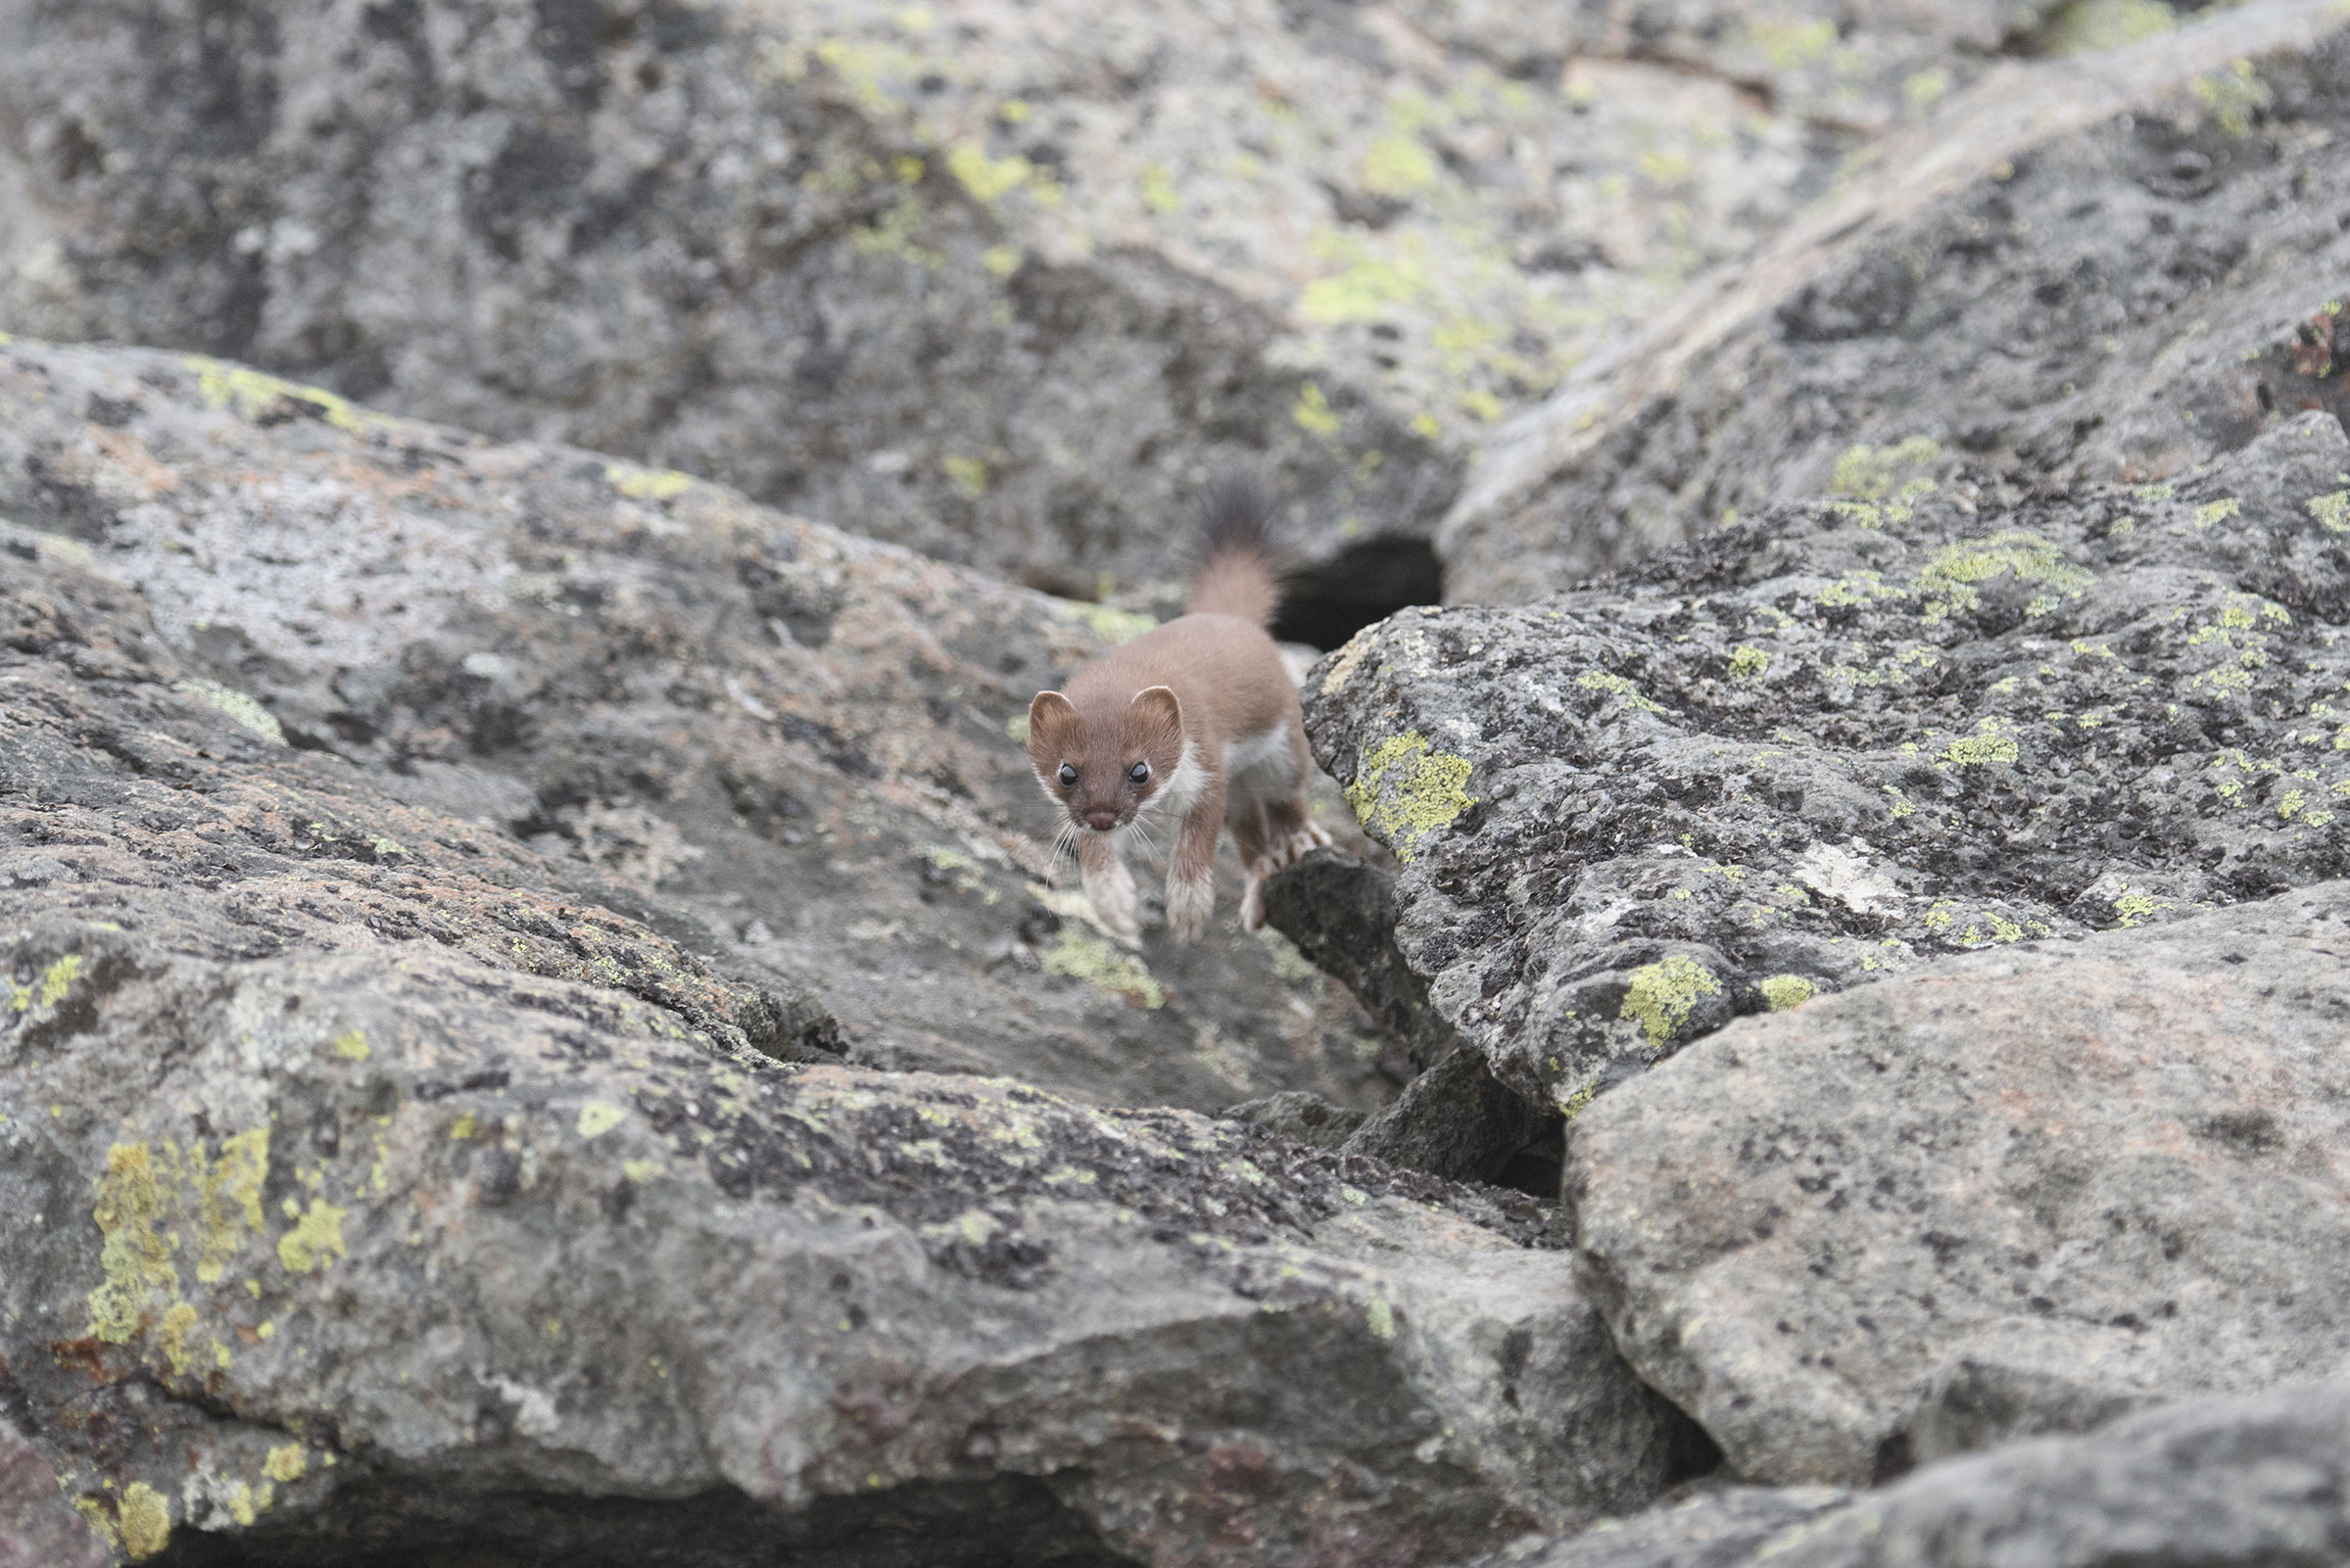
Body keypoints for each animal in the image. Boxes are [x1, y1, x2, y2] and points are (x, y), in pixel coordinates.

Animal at [1024, 479, 1334, 944]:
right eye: (1067, 772)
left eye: (1140, 769)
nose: (1102, 815)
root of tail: (1225, 617)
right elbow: (1093, 851)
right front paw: (1115, 904)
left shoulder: (1207, 763)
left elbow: (1198, 841)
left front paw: (1189, 909)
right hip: (1242, 789)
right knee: (1251, 840)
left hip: (1281, 747)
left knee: (1286, 797)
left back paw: (1297, 842)